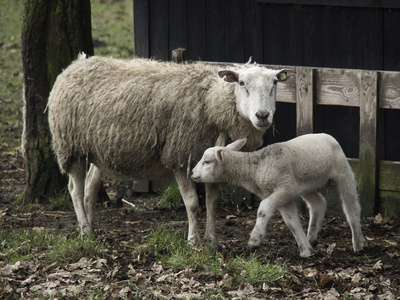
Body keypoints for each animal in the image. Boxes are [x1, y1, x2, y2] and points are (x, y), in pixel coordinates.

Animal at [47, 54, 296, 246]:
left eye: (275, 83)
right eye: (242, 83)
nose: (262, 116)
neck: (210, 100)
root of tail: (74, 65)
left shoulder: (211, 164)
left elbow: (212, 203)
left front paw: (212, 240)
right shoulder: (180, 156)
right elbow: (193, 203)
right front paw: (193, 242)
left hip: (98, 151)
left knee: (90, 188)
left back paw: (90, 229)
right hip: (70, 146)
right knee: (75, 190)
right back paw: (84, 230)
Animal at [192, 134, 364, 258]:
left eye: (207, 162)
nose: (192, 173)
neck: (254, 169)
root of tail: (328, 136)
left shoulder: (286, 187)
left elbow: (263, 208)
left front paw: (254, 241)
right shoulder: (284, 194)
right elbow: (291, 222)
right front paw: (305, 251)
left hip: (343, 171)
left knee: (351, 209)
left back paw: (358, 244)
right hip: (306, 185)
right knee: (318, 204)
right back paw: (312, 238)